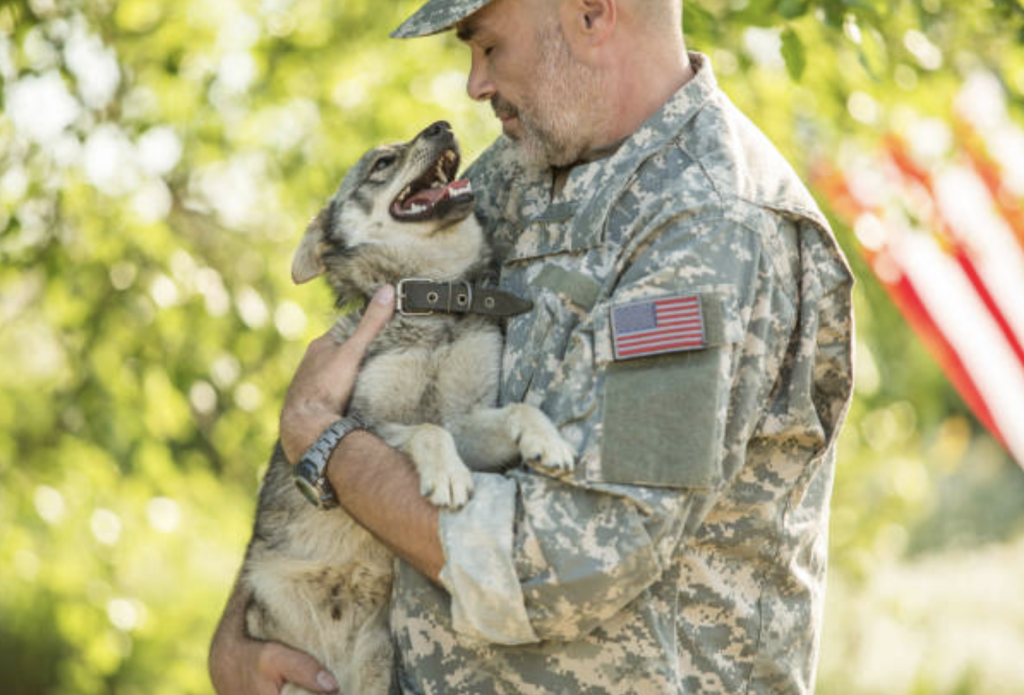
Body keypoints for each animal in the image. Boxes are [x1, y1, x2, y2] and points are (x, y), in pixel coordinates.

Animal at [240, 122, 577, 695]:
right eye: (382, 162)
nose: (442, 125)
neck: (435, 300)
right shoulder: (368, 424)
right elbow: (426, 431)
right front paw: (447, 477)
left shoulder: (468, 420)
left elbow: (517, 411)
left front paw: (547, 440)